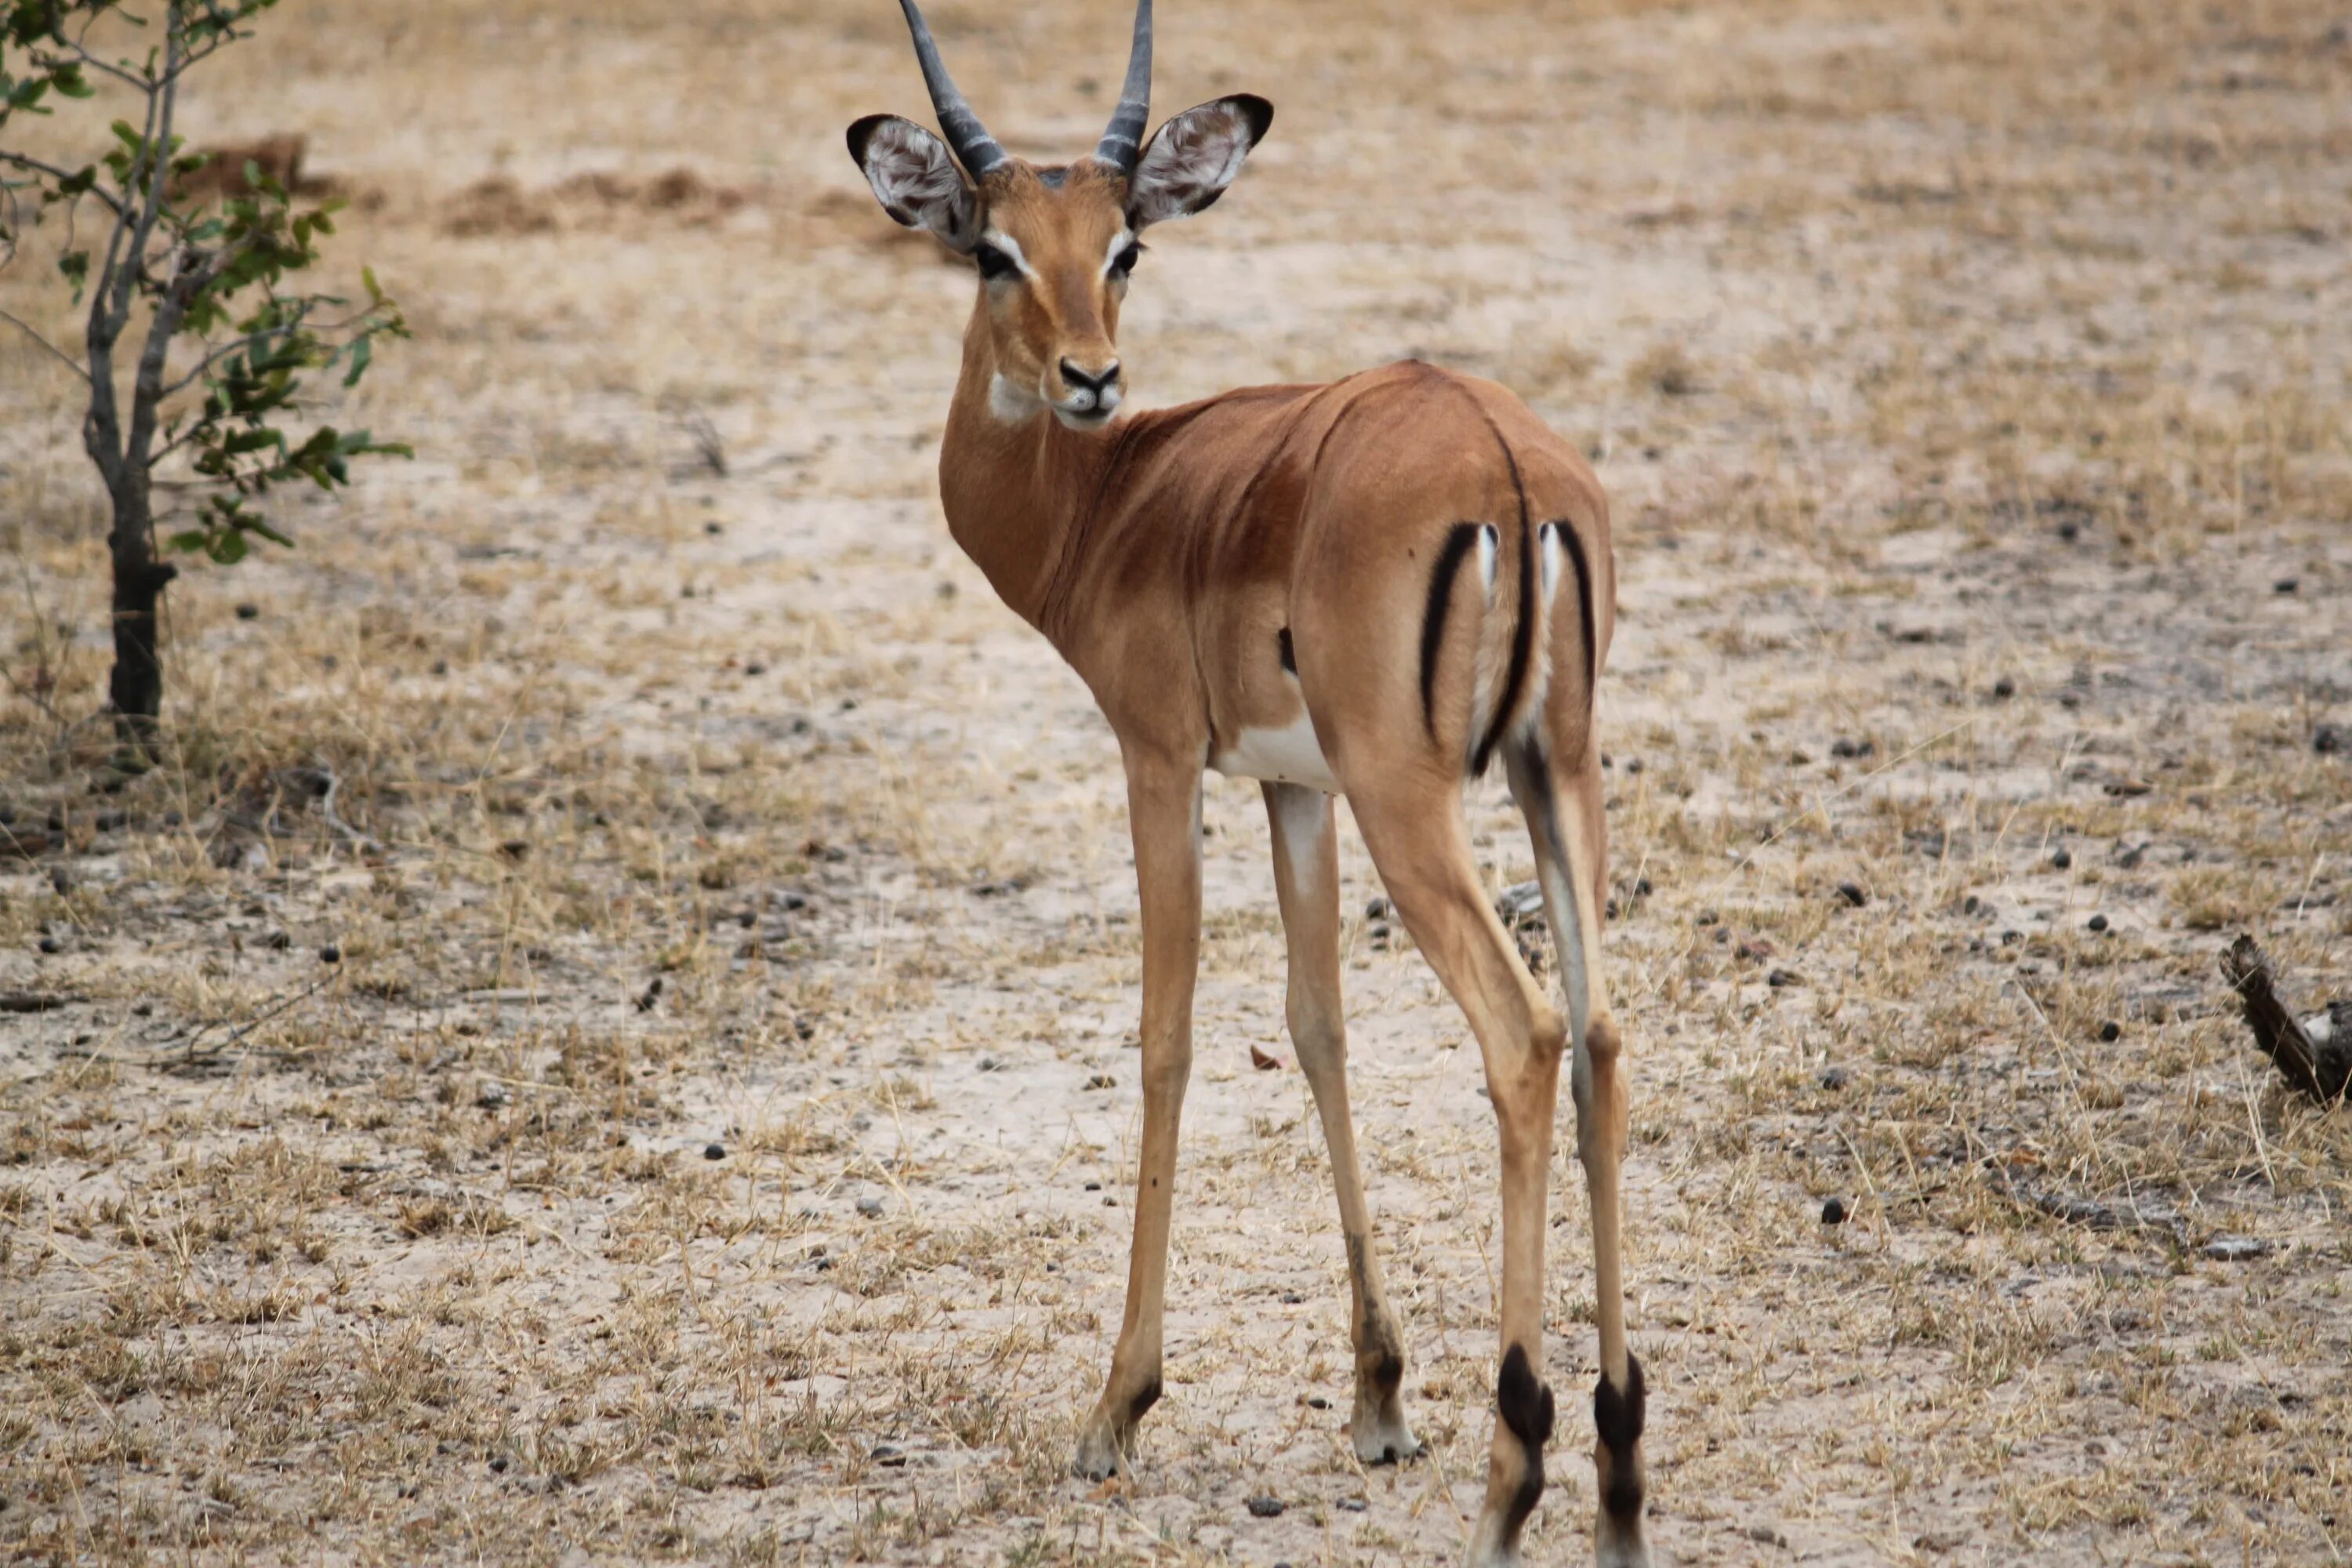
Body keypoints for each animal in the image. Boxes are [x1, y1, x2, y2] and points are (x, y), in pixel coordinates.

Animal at [856, 5, 1646, 1561]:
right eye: (996, 249)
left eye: (1124, 246)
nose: (1091, 379)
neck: (1113, 503)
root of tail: (1509, 469)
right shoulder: (1297, 789)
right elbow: (1317, 1024)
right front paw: (1379, 1398)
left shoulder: (1161, 760)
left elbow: (1165, 1037)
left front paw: (1115, 1410)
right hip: (1555, 776)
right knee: (1597, 1037)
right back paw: (1618, 1479)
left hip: (1421, 804)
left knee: (1524, 1034)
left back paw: (1514, 1475)